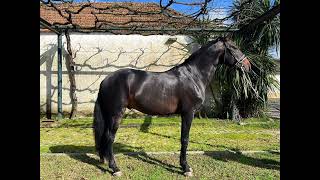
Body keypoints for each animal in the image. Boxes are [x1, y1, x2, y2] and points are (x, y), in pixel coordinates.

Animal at [94, 36, 251, 176]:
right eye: (234, 47)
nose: (248, 65)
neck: (194, 76)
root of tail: (105, 80)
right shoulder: (188, 113)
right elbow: (185, 139)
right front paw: (186, 168)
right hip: (116, 114)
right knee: (109, 137)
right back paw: (115, 168)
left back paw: (105, 161)